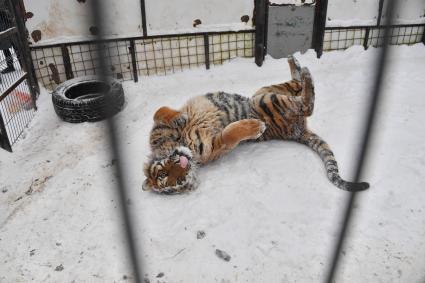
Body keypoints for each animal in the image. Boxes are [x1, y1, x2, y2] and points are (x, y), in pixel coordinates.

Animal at [142, 55, 368, 195]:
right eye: (175, 181)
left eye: (162, 174)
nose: (183, 164)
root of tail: (299, 131)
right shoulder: (212, 147)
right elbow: (229, 134)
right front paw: (255, 127)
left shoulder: (157, 131)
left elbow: (159, 111)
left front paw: (178, 116)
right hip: (269, 101)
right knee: (306, 104)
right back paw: (303, 72)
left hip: (263, 93)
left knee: (297, 86)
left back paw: (296, 64)